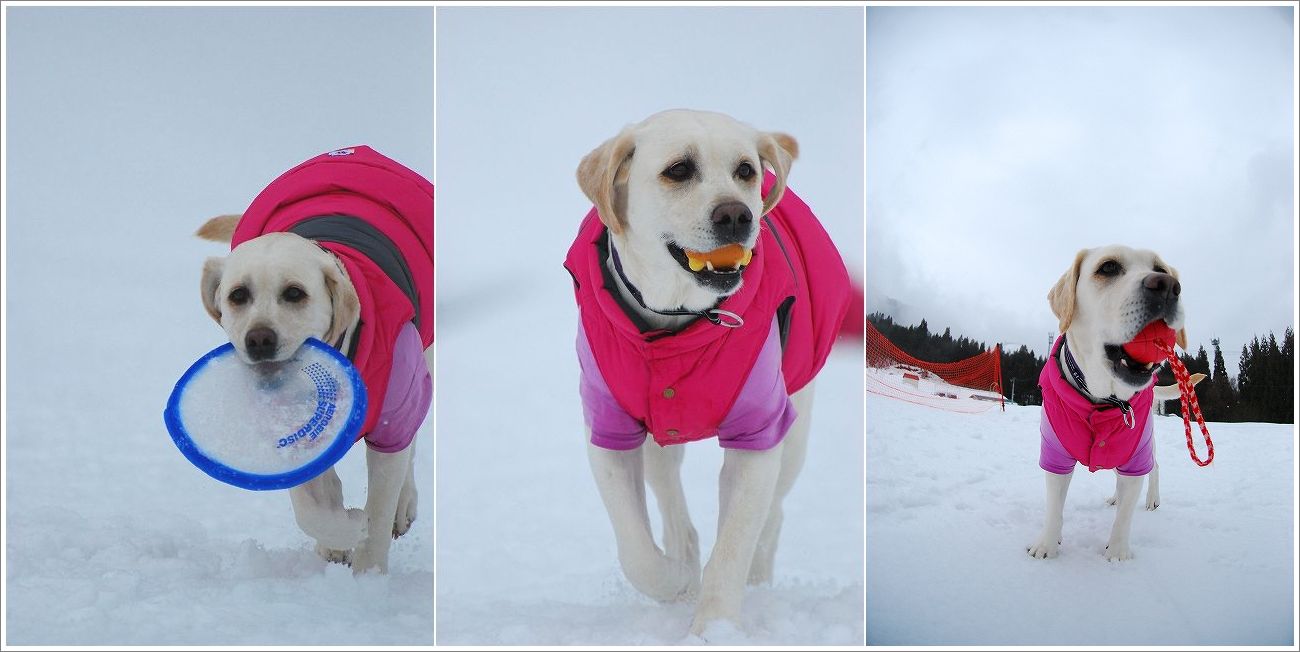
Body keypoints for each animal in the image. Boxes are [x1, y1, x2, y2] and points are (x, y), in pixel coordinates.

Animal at [1034, 244, 1190, 561]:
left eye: (1161, 269)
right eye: (1107, 267)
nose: (1167, 286)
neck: (1102, 399)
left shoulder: (1136, 453)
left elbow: (1126, 516)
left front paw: (1117, 554)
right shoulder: (1054, 452)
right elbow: (1054, 506)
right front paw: (1047, 545)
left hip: (1145, 444)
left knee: (1154, 468)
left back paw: (1152, 499)